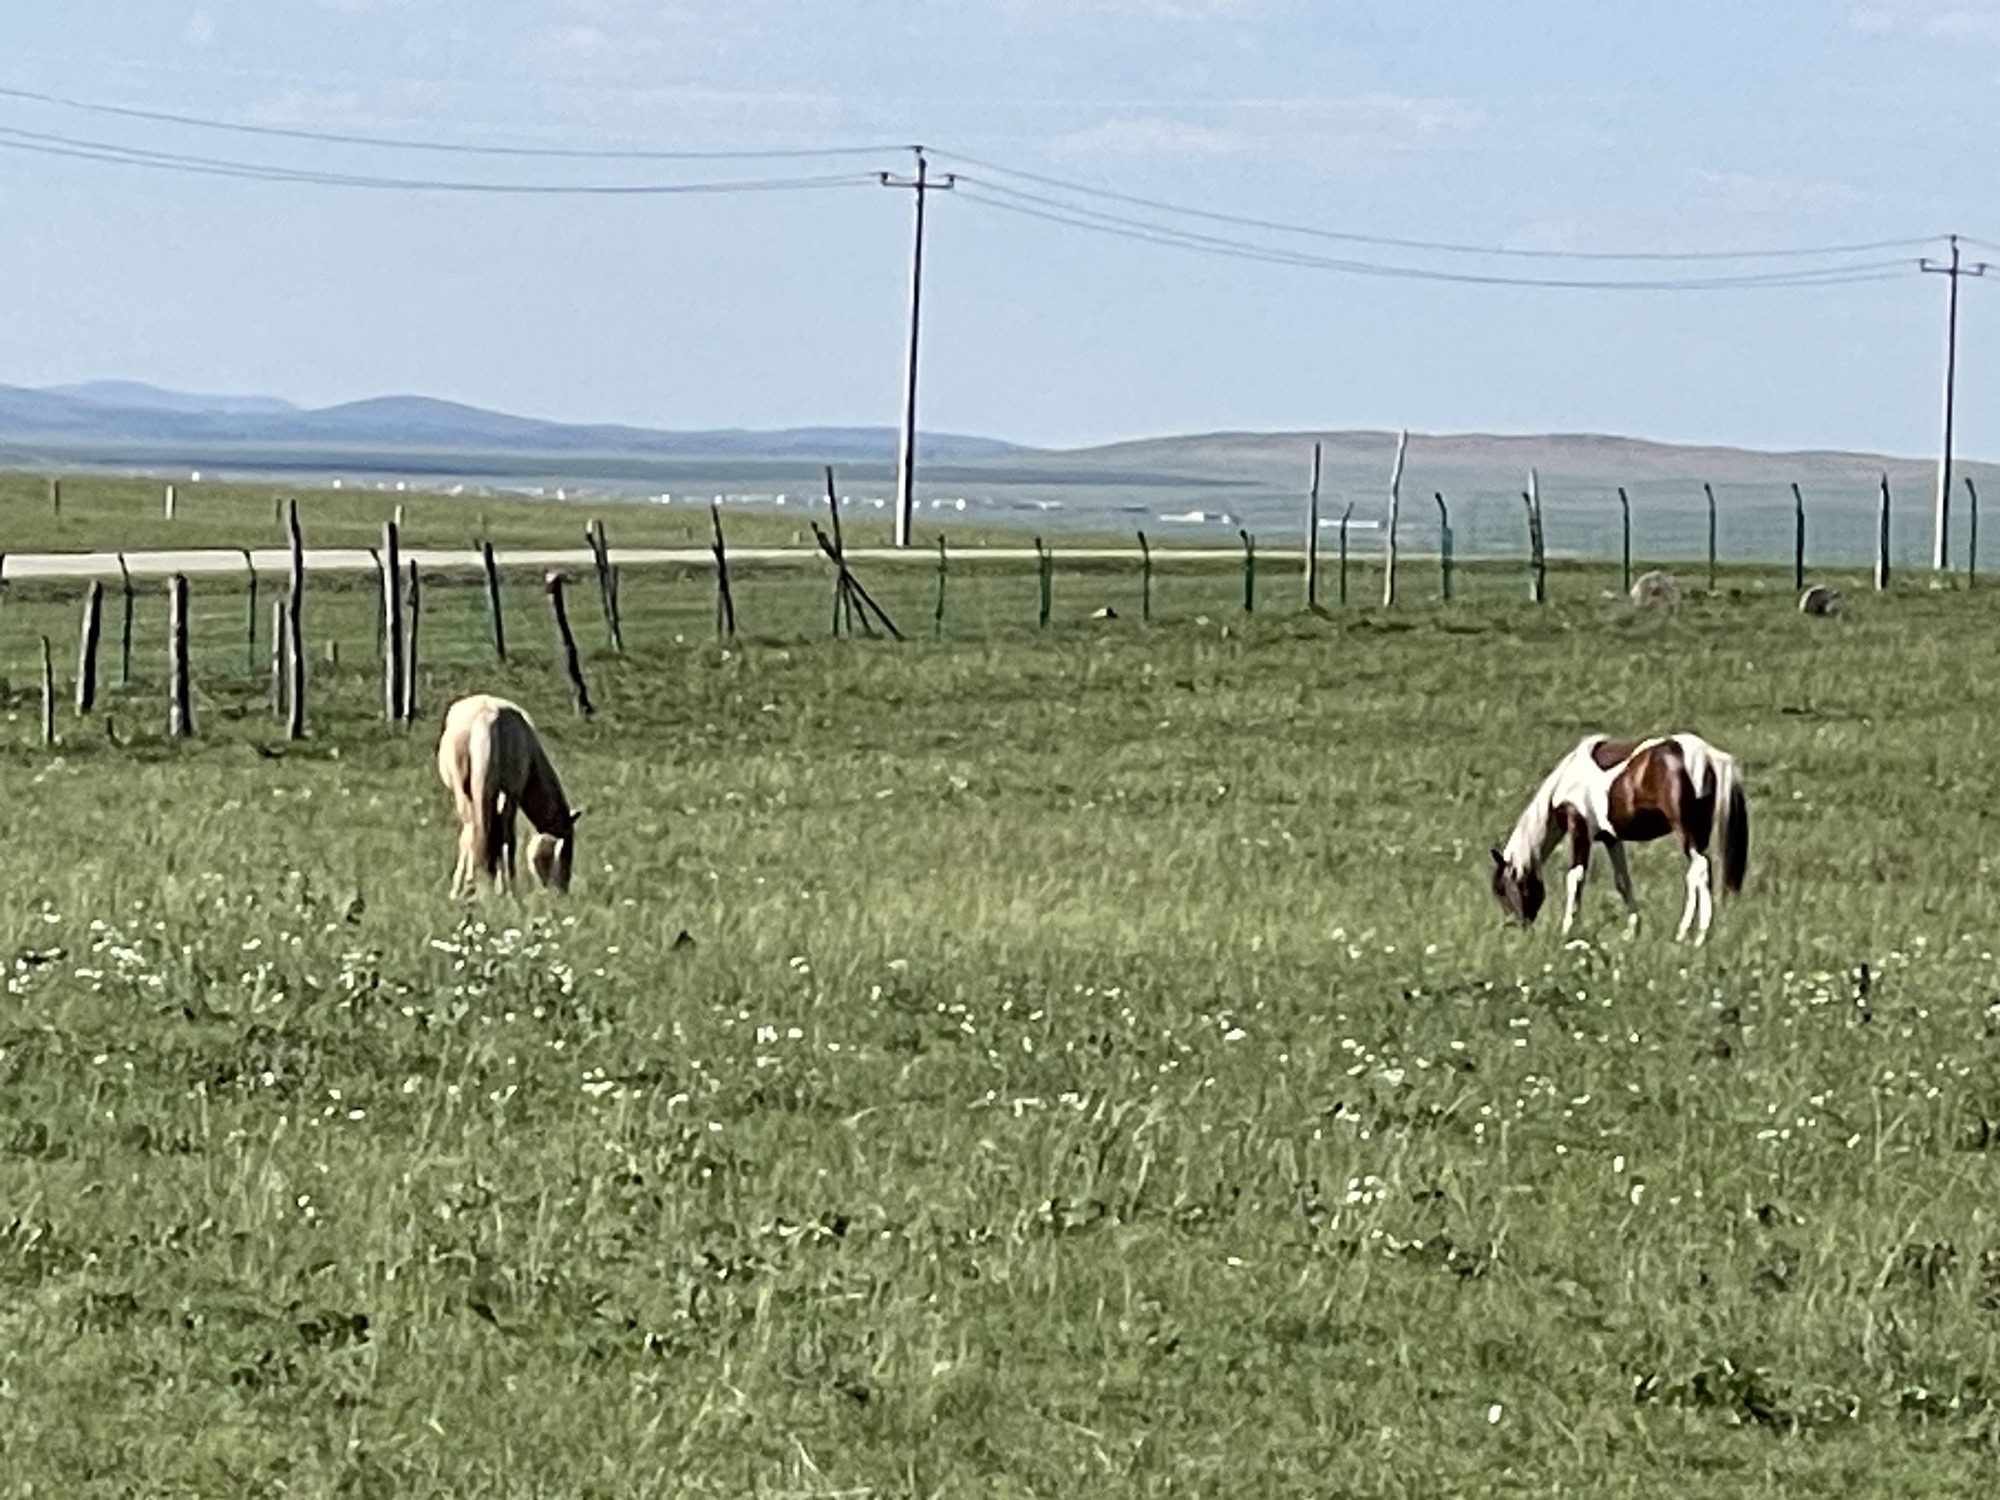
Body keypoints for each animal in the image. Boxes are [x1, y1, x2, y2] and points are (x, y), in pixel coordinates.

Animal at [435, 693, 582, 897]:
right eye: (565, 854)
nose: (561, 893)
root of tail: (486, 719)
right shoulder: (513, 794)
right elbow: (507, 839)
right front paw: (508, 891)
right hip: (505, 794)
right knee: (501, 836)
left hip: (466, 792)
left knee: (473, 832)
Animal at [1490, 732, 1748, 944]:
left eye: (1502, 890)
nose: (1515, 928)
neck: (1567, 779)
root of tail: (1707, 755)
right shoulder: (1611, 838)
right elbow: (1622, 881)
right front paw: (1632, 931)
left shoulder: (1580, 830)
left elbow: (1575, 878)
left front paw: (1568, 930)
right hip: (1698, 834)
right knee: (1698, 873)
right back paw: (1692, 934)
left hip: (1686, 831)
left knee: (1699, 870)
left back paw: (1693, 934)